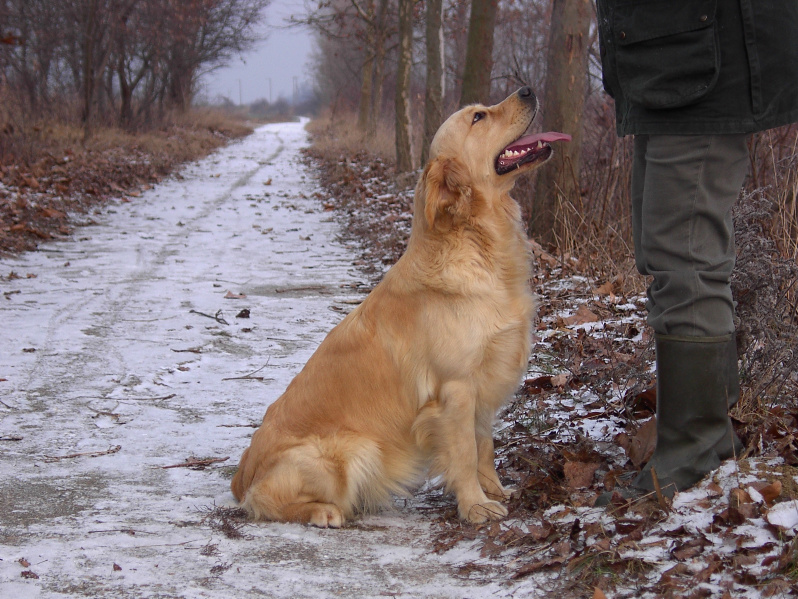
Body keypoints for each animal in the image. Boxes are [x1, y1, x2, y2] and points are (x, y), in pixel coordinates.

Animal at [234, 86, 572, 528]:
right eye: (478, 117)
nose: (528, 90)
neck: (476, 244)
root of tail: (243, 471)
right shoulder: (456, 389)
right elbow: (465, 453)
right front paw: (474, 505)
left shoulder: (481, 386)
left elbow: (484, 447)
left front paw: (495, 490)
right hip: (354, 452)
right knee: (262, 501)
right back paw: (322, 512)